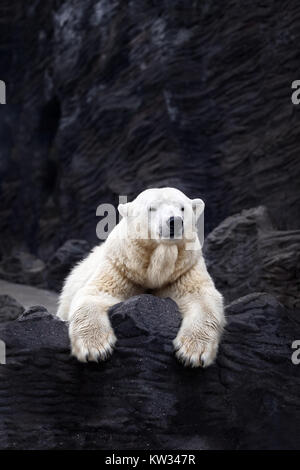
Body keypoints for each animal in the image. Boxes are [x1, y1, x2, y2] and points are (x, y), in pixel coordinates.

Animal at [56, 187, 225, 368]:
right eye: (152, 208)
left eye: (182, 208)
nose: (175, 221)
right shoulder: (120, 268)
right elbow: (95, 294)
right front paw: (95, 348)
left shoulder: (184, 270)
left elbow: (201, 298)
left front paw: (193, 353)